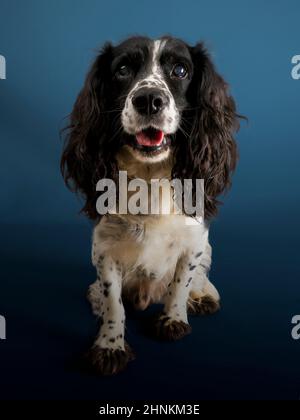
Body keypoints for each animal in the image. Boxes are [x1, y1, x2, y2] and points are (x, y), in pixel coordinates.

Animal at [61, 36, 241, 376]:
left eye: (180, 69)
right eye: (122, 69)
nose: (148, 99)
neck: (150, 177)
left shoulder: (195, 240)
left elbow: (181, 282)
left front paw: (173, 318)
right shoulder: (104, 248)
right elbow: (114, 301)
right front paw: (110, 344)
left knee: (200, 276)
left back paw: (202, 295)